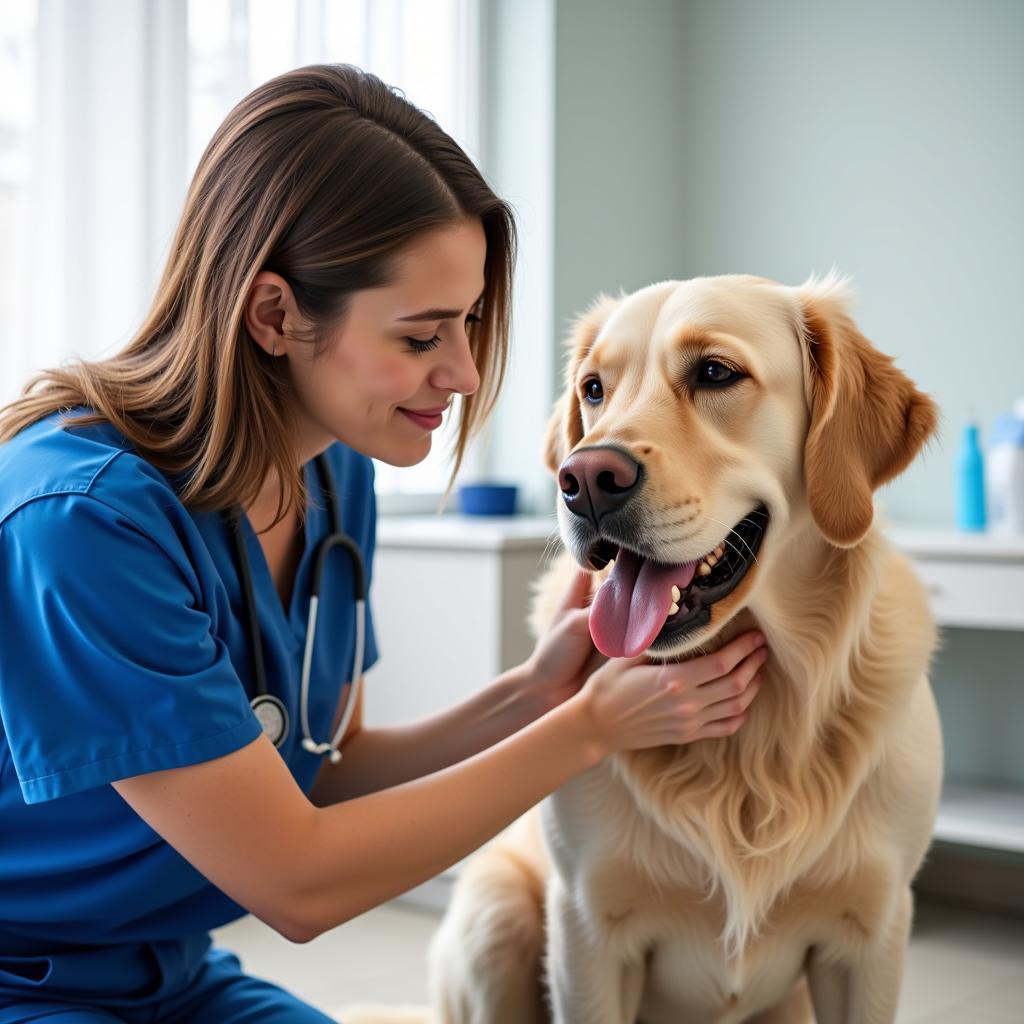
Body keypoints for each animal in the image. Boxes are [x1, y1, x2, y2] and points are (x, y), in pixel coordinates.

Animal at [337, 272, 942, 1024]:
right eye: (594, 389)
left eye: (716, 373)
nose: (584, 480)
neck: (753, 744)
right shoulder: (588, 930)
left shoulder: (872, 933)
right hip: (495, 912)